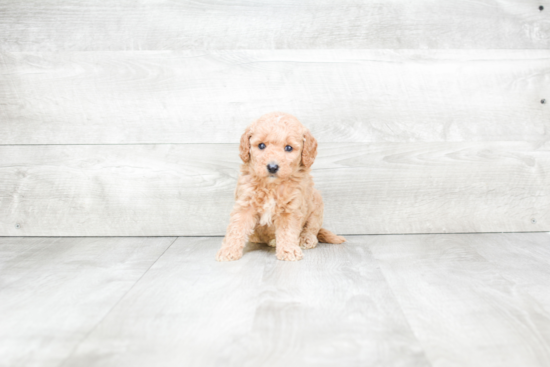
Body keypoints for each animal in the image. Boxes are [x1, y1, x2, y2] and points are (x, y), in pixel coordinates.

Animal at [216, 112, 344, 262]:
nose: (272, 167)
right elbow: (237, 227)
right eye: (261, 145)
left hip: (317, 204)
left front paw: (289, 250)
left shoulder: (290, 208)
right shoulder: (245, 204)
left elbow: (287, 231)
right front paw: (228, 250)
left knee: (312, 228)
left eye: (288, 148)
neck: (271, 186)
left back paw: (305, 239)